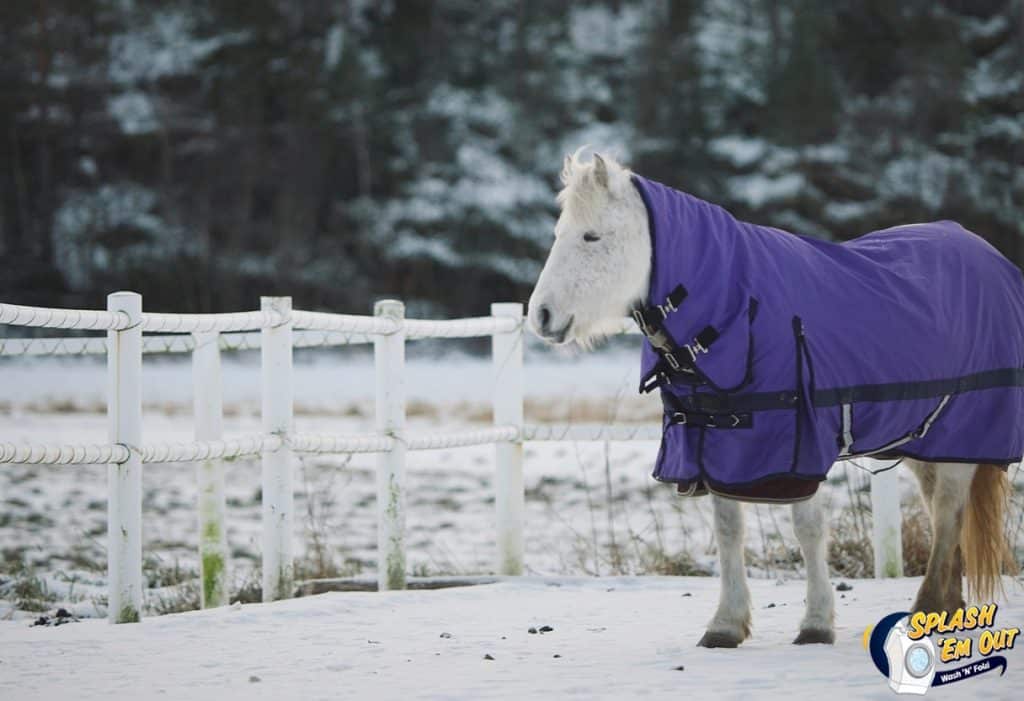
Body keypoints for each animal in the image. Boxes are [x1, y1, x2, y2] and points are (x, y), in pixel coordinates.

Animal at [528, 150, 1015, 646]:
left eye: (592, 236)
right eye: (559, 234)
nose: (541, 315)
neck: (739, 311)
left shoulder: (799, 446)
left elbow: (808, 529)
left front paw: (816, 623)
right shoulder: (719, 446)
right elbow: (728, 530)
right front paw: (725, 624)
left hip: (964, 434)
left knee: (948, 513)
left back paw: (925, 610)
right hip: (926, 440)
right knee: (944, 516)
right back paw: (947, 611)